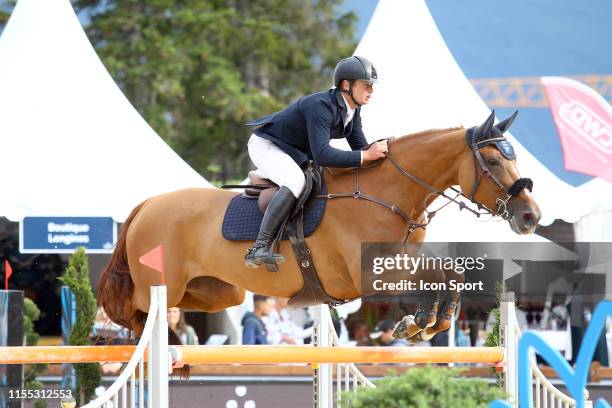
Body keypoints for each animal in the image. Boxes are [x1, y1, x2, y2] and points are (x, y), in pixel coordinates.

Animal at [98, 111, 544, 342]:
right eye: (493, 161)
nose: (531, 217)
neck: (388, 194)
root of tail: (148, 205)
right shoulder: (367, 275)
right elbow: (433, 275)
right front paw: (422, 321)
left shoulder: (400, 262)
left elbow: (447, 273)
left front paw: (427, 321)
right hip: (162, 283)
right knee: (132, 307)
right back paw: (112, 331)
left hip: (217, 291)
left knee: (163, 310)